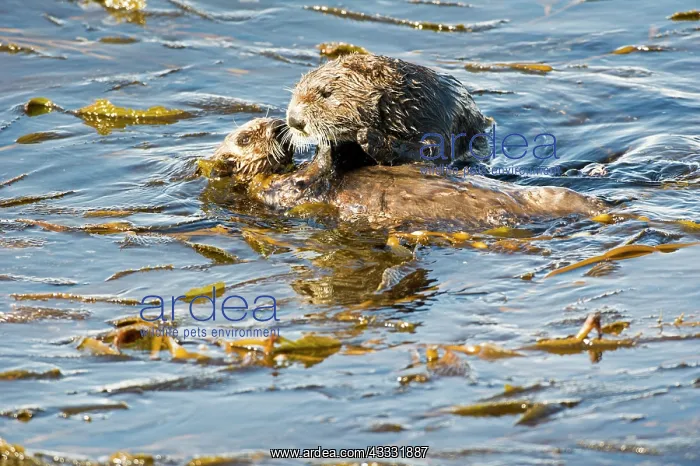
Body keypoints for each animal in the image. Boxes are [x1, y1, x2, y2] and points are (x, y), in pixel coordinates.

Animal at [285, 54, 490, 185]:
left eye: (326, 93)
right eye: (296, 90)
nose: (294, 120)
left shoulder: (440, 119)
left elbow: (431, 151)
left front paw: (370, 138)